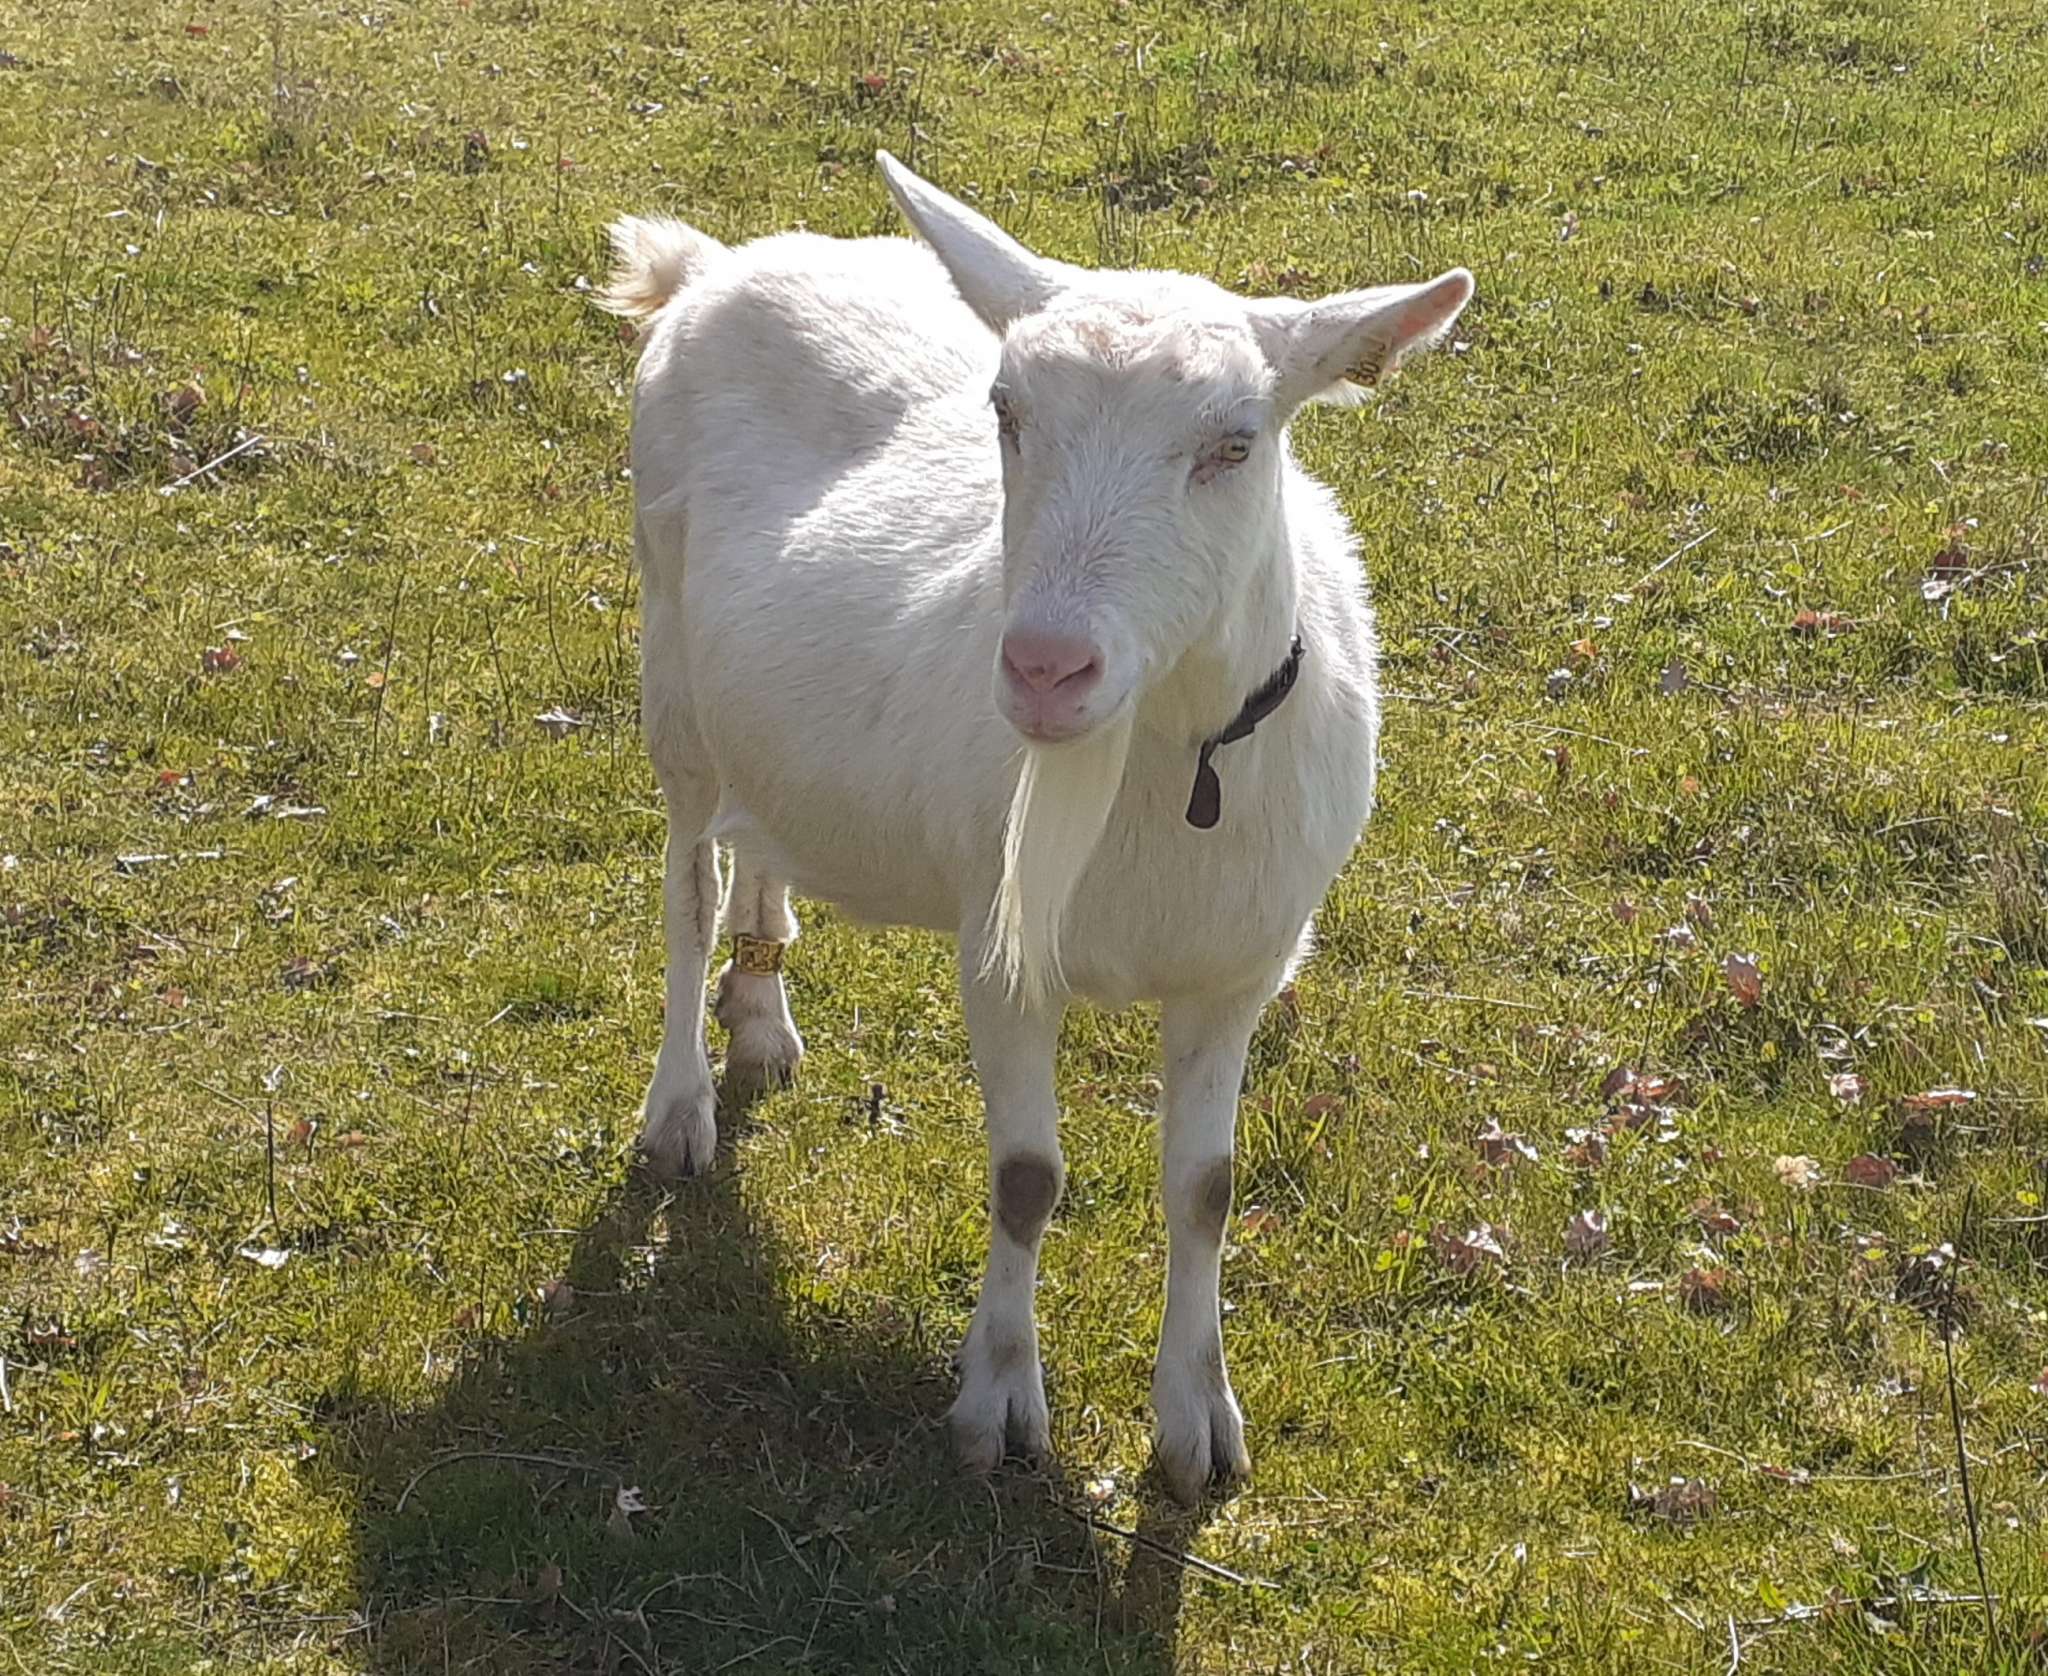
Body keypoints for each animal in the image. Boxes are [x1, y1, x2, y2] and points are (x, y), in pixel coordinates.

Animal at [601, 154, 1472, 1503]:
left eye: (1233, 444)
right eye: (1004, 413)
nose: (1045, 668)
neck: (1160, 765)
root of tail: (712, 264)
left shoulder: (1238, 966)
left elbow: (1206, 1187)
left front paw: (1197, 1422)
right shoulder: (1000, 950)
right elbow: (1025, 1180)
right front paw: (999, 1402)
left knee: (760, 837)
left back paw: (762, 1013)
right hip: (670, 673)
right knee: (689, 888)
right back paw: (682, 1102)